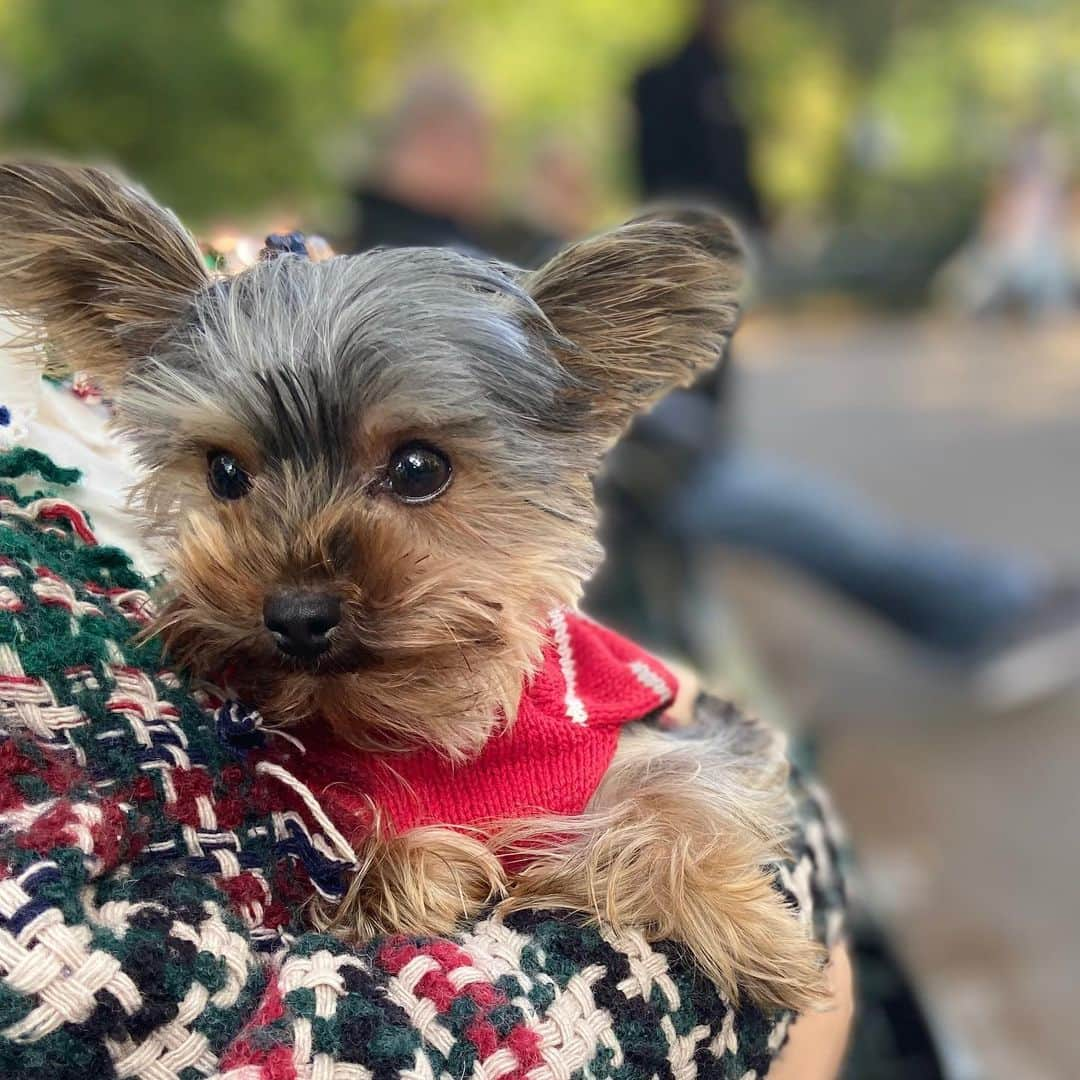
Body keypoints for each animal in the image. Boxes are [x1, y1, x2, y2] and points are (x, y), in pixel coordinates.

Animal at [2, 159, 825, 1010]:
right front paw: (417, 873)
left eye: (419, 467)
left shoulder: (665, 737)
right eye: (224, 473)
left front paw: (756, 936)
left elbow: (674, 796)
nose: (297, 615)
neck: (441, 725)